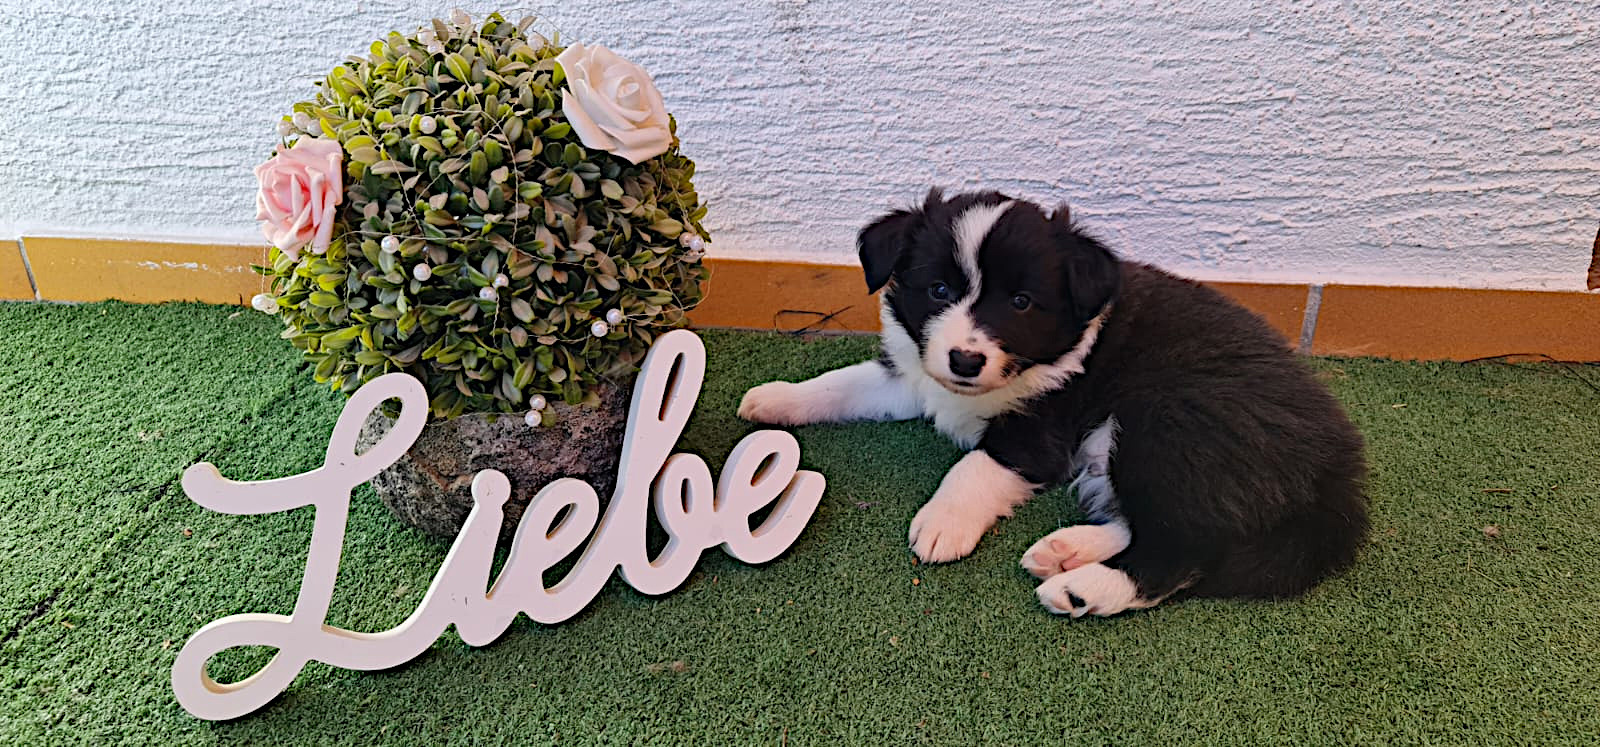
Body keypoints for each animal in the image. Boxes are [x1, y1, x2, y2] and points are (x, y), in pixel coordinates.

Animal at [737, 189, 1368, 617]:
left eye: (1021, 301)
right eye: (938, 290)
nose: (964, 361)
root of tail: (1336, 473)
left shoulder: (1037, 432)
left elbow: (975, 466)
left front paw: (941, 524)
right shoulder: (915, 373)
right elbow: (842, 382)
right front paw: (774, 400)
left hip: (1164, 423)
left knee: (1183, 550)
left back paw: (1080, 586)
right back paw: (1067, 549)